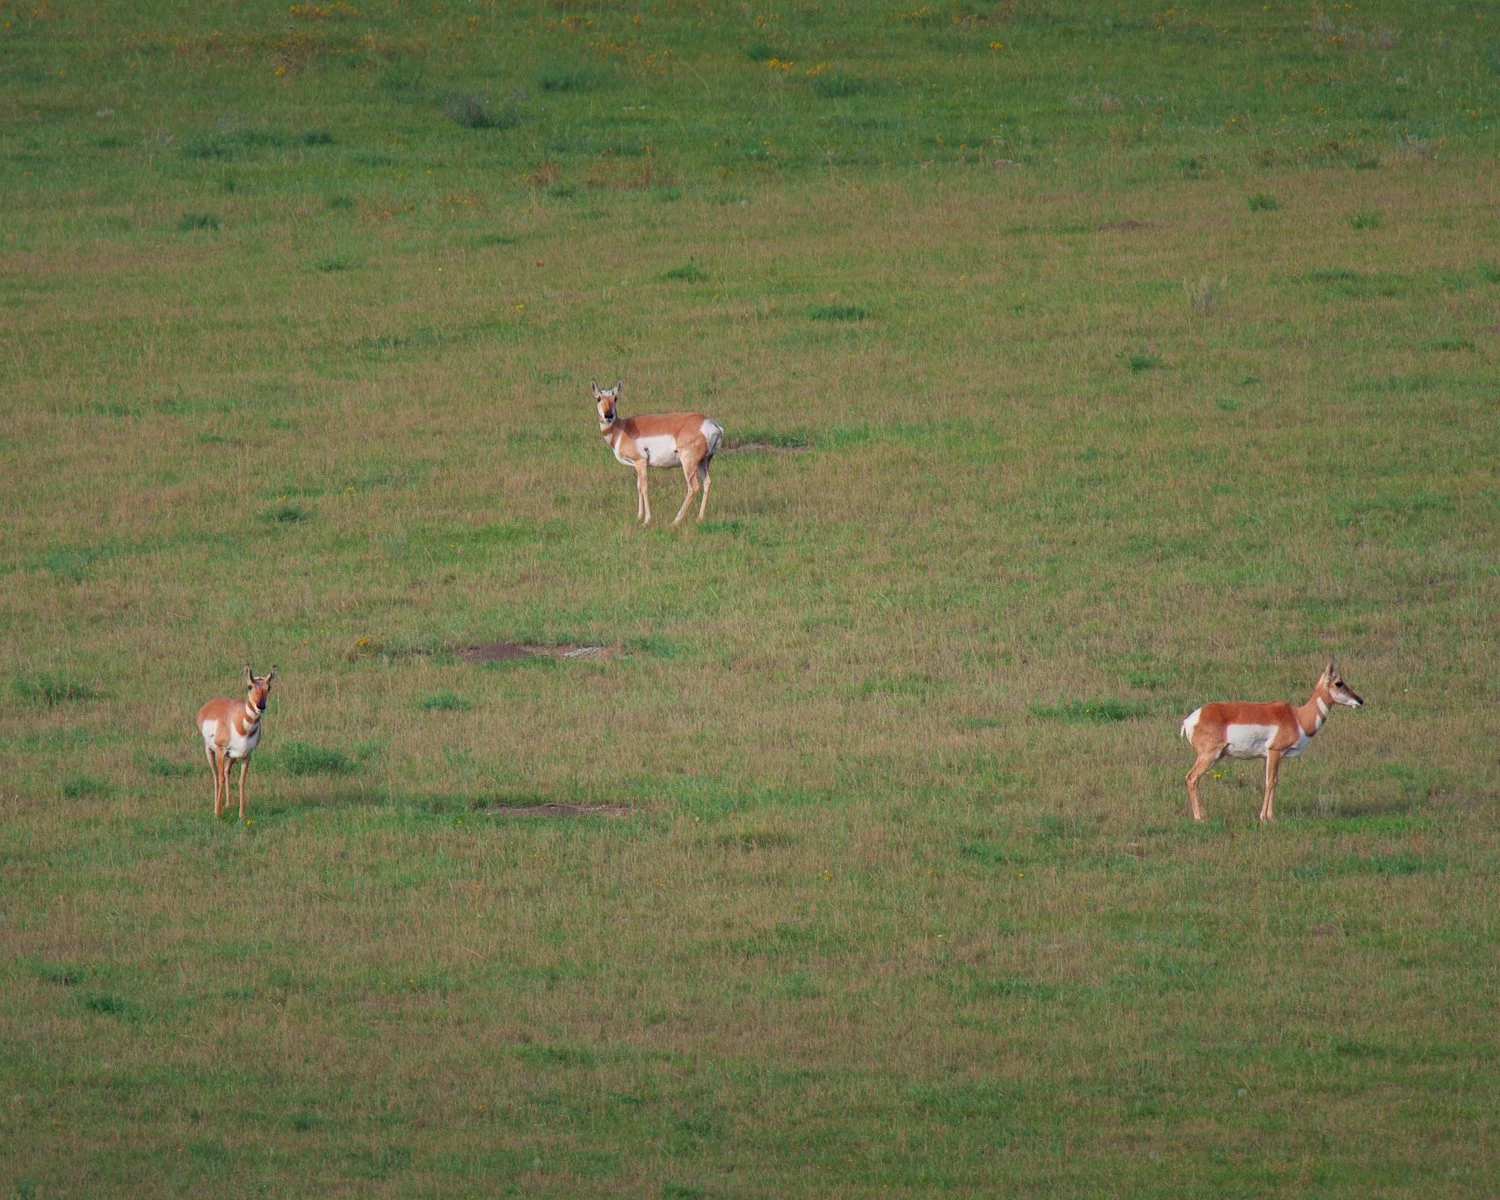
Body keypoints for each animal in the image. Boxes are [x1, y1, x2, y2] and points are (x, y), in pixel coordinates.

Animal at [197, 665, 276, 821]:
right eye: (249, 686)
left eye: (269, 687)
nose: (261, 706)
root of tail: (209, 705)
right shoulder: (221, 751)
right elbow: (221, 778)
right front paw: (218, 813)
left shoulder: (247, 755)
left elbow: (241, 781)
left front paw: (242, 814)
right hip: (210, 750)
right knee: (216, 776)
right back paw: (216, 806)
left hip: (233, 756)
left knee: (226, 770)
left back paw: (227, 804)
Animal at [591, 379, 724, 526]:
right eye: (598, 398)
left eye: (615, 398)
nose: (608, 416)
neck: (622, 428)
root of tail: (710, 423)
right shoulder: (636, 465)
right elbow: (638, 486)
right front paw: (638, 517)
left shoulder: (640, 461)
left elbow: (644, 487)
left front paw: (646, 521)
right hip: (703, 462)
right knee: (707, 482)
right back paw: (699, 518)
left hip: (688, 463)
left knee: (693, 487)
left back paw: (675, 521)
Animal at [1181, 661, 1363, 823]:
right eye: (1339, 683)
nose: (1360, 700)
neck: (1297, 717)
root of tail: (1192, 718)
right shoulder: (1274, 752)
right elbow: (1270, 782)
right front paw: (1265, 817)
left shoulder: (1270, 757)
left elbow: (1273, 781)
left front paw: (1269, 816)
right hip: (1209, 755)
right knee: (1191, 777)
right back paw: (1199, 818)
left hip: (1217, 756)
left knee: (1195, 779)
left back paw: (1203, 815)